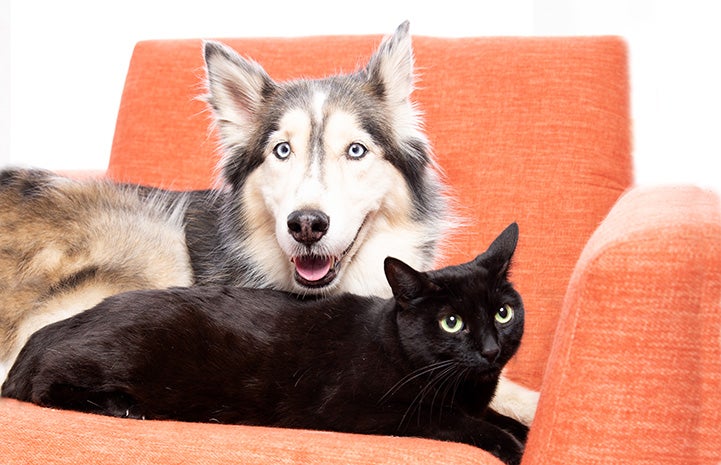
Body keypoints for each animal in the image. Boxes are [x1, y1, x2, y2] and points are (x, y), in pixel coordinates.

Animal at [2, 223, 524, 462]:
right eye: (452, 323)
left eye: (503, 313)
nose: (489, 349)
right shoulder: (370, 410)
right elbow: (458, 422)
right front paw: (513, 445)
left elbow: (497, 416)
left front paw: (520, 429)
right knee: (46, 384)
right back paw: (119, 405)